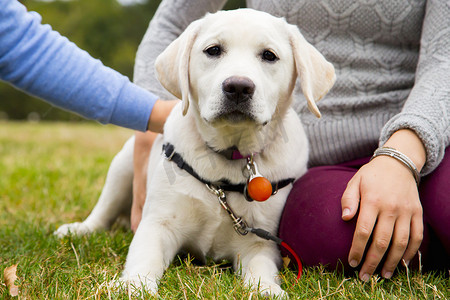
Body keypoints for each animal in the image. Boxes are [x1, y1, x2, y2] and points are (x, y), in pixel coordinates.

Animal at [54, 8, 334, 296]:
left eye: (269, 55)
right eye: (213, 50)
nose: (238, 87)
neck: (229, 154)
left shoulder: (259, 240)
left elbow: (261, 269)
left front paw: (266, 290)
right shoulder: (158, 223)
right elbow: (145, 258)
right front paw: (133, 285)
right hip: (122, 168)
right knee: (103, 211)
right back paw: (78, 229)